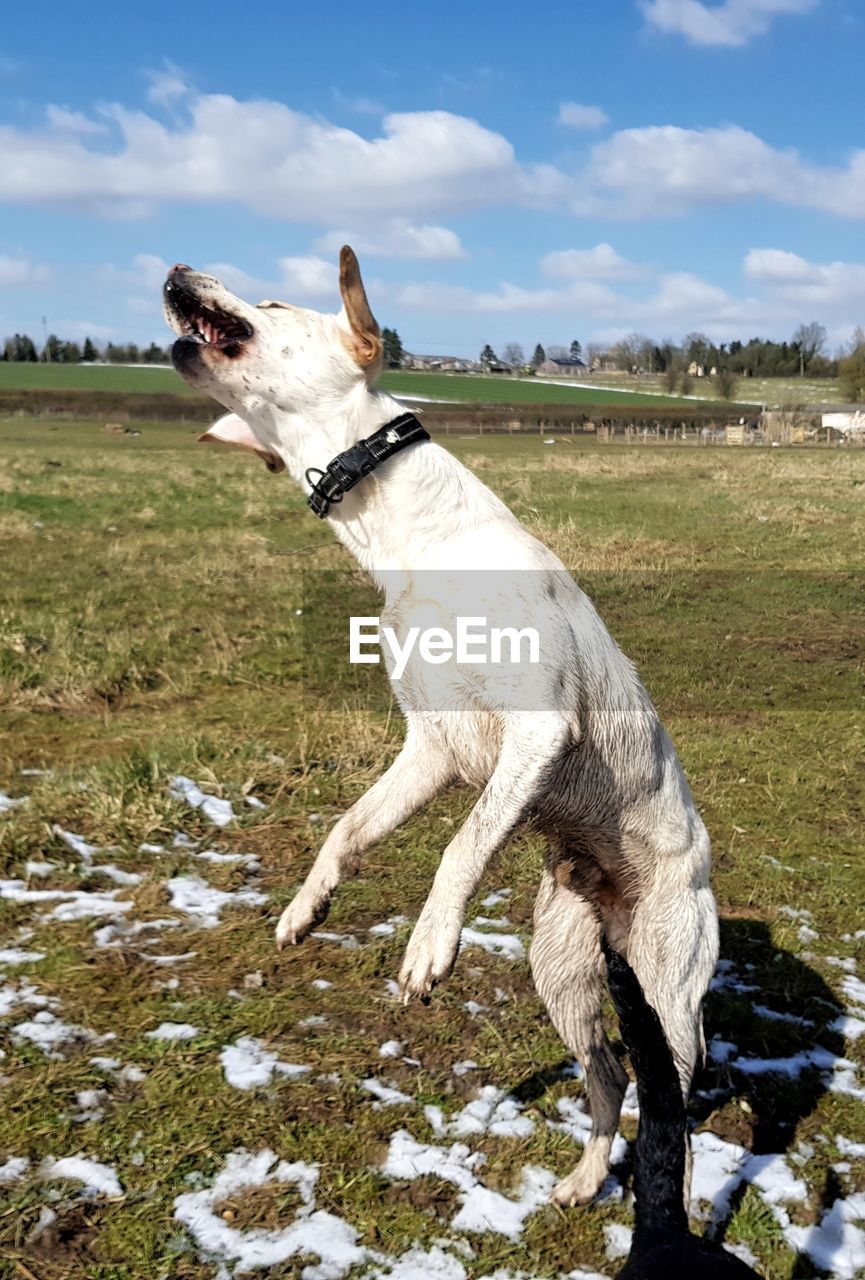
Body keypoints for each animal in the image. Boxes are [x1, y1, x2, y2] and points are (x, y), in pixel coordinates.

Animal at [162, 252, 716, 1208]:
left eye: (271, 300)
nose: (176, 265)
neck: (409, 542)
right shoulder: (433, 749)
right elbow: (347, 828)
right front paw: (308, 905)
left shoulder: (538, 730)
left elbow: (462, 845)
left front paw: (428, 945)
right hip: (563, 970)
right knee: (610, 1076)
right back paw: (583, 1180)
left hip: (668, 994)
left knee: (671, 1108)